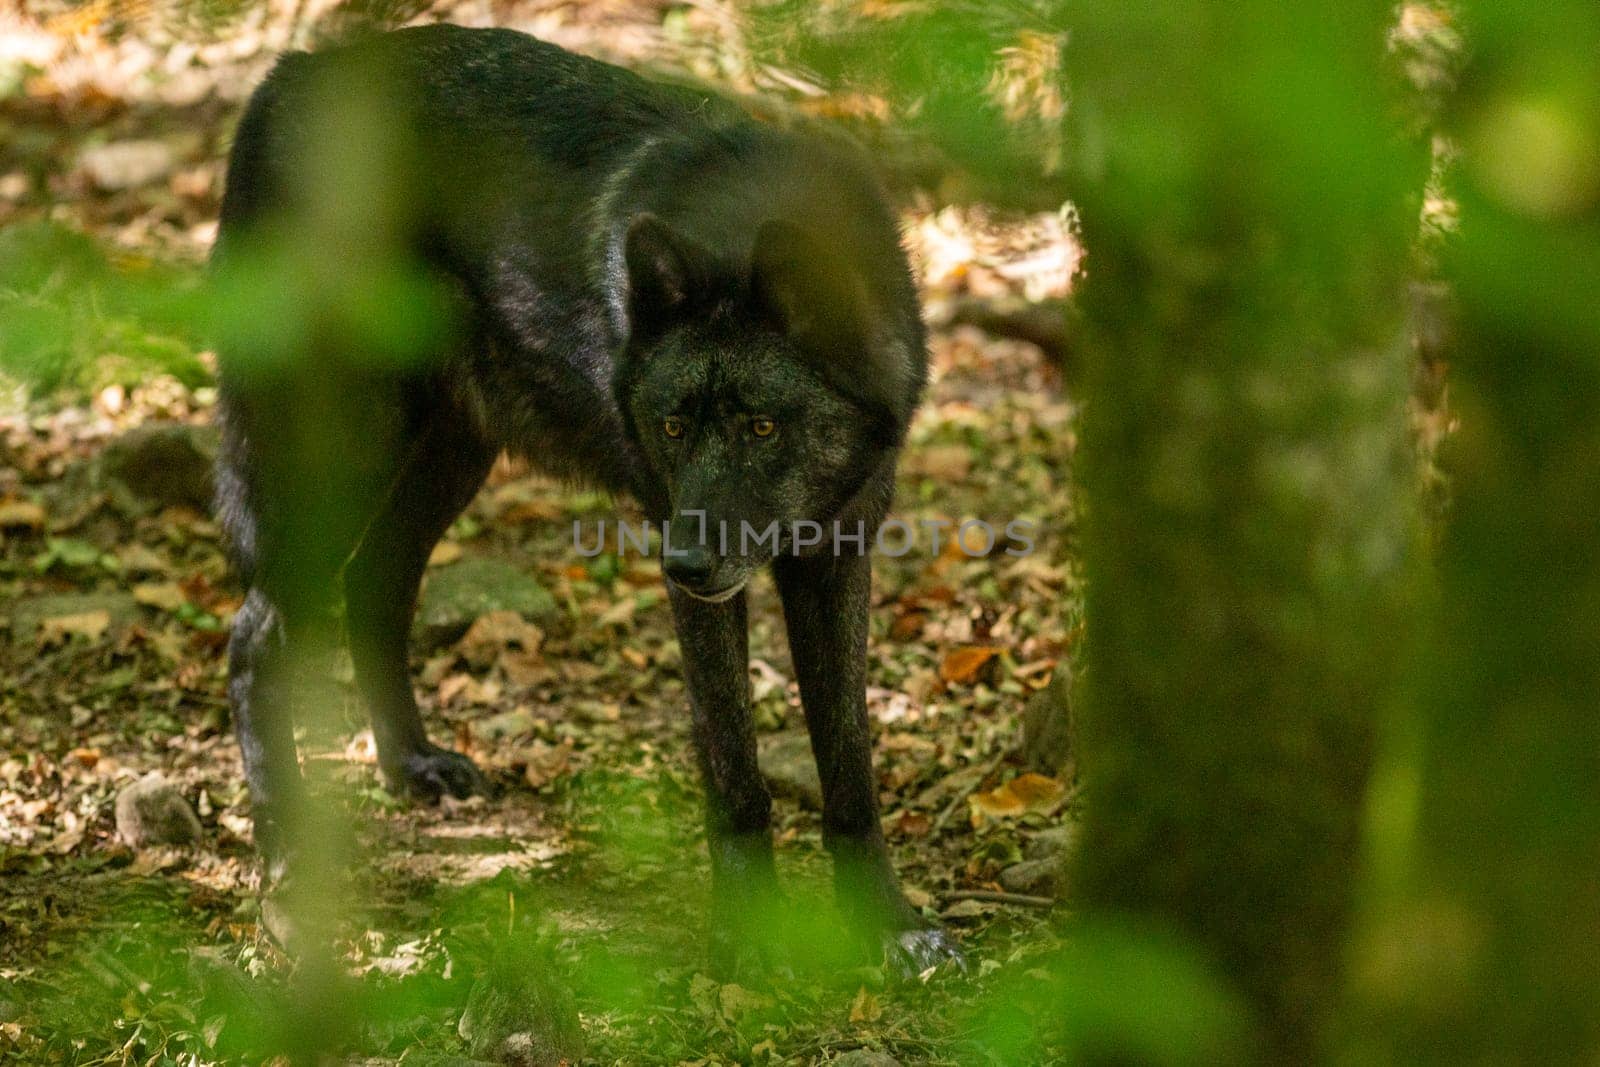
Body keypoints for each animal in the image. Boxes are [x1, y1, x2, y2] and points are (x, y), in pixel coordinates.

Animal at [216, 22, 960, 979]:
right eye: (673, 425)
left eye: (761, 426)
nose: (685, 560)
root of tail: (289, 77)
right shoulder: (702, 587)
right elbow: (736, 774)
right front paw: (746, 940)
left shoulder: (834, 558)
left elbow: (851, 766)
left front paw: (887, 924)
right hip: (347, 455)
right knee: (254, 636)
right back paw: (286, 853)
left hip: (448, 460)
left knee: (373, 585)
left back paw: (411, 765)